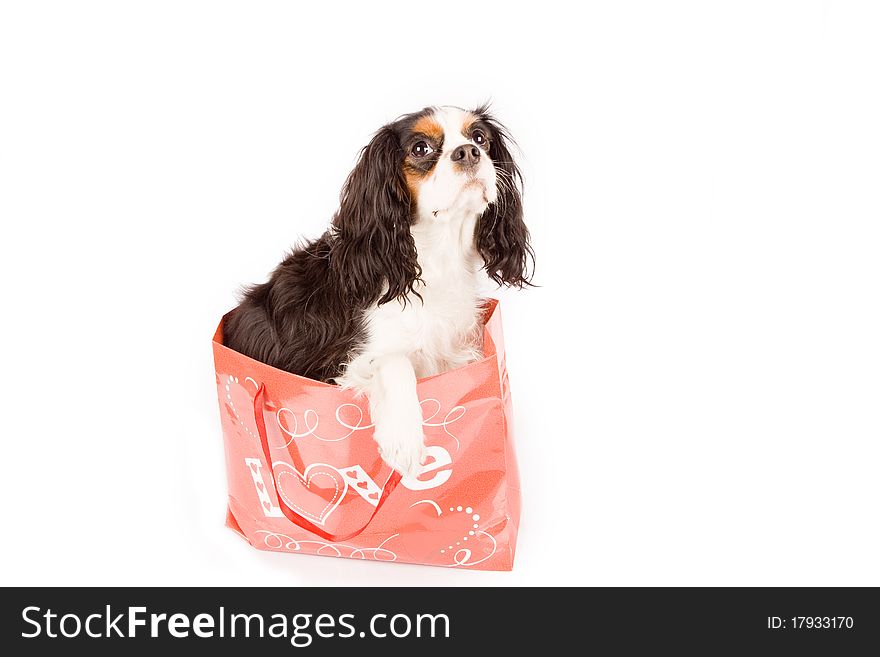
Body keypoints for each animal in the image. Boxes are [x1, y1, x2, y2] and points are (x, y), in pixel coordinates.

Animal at [223, 106, 532, 476]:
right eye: (420, 149)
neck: (433, 260)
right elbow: (395, 361)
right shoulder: (335, 367)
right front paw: (404, 439)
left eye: (480, 138)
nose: (469, 152)